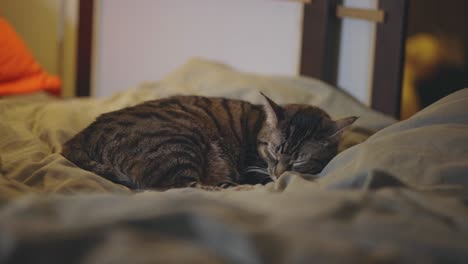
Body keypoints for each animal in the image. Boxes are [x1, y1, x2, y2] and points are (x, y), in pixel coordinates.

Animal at [61, 93, 354, 190]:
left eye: (301, 160)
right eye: (273, 151)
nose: (279, 174)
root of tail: (77, 139)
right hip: (180, 140)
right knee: (177, 188)